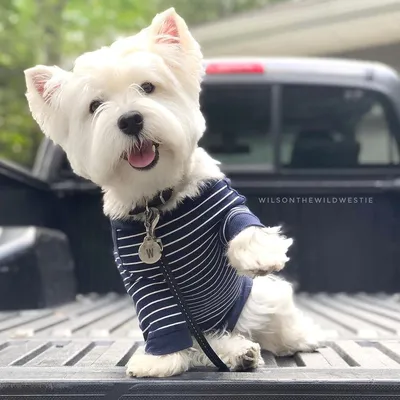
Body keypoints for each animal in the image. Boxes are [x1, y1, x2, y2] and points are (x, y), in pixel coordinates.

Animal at [24, 8, 318, 378]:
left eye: (148, 87)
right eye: (95, 105)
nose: (130, 119)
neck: (157, 201)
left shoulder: (223, 205)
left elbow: (243, 225)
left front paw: (260, 254)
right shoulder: (142, 275)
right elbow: (161, 319)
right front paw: (158, 360)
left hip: (259, 299)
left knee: (274, 320)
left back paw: (298, 337)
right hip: (202, 328)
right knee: (204, 344)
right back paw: (237, 352)